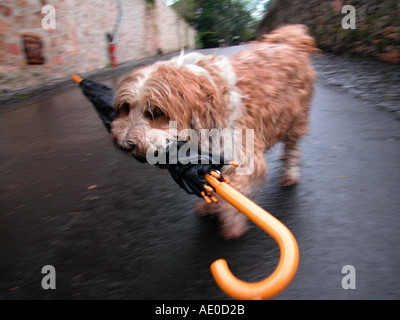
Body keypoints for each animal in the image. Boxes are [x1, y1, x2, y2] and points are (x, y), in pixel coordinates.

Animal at [111, 25, 318, 239]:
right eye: (126, 107)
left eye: (155, 112)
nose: (125, 144)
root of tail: (289, 42)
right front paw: (209, 206)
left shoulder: (242, 155)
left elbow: (232, 191)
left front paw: (231, 224)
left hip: (296, 117)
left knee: (293, 147)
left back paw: (290, 172)